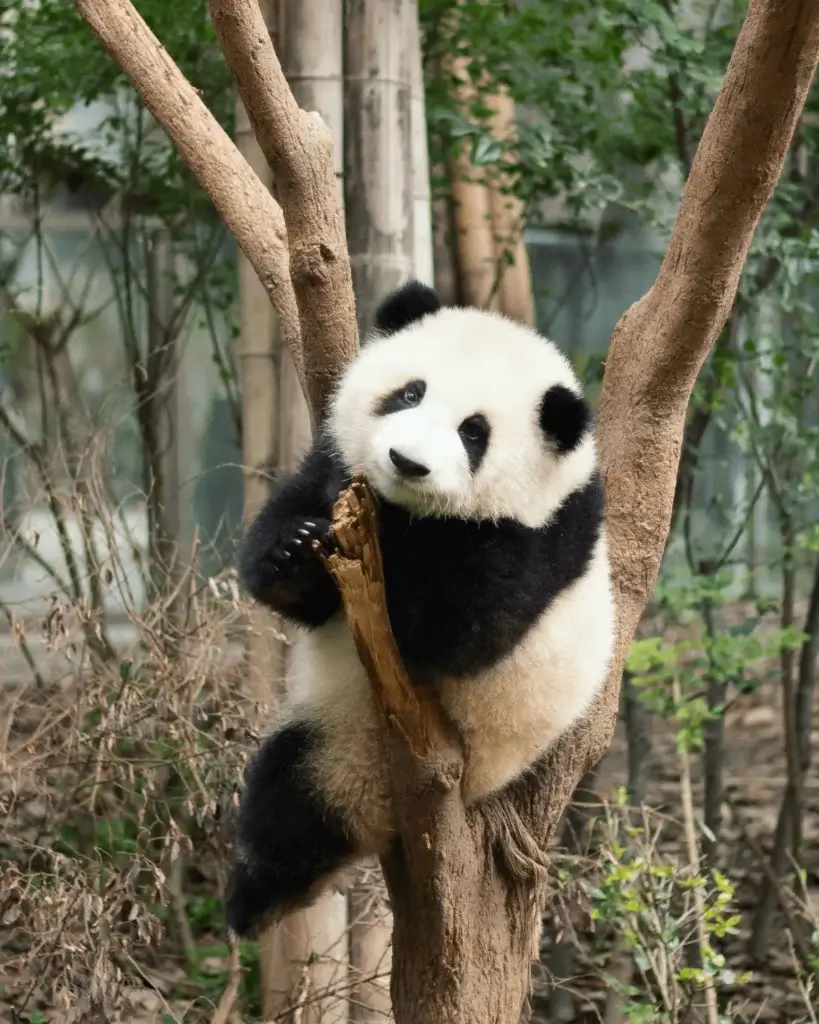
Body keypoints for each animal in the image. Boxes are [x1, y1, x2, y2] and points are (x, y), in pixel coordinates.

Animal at [225, 281, 614, 937]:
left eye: (474, 432)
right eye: (410, 392)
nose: (406, 462)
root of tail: (378, 809)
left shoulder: (534, 537)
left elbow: (456, 632)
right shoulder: (333, 459)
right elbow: (300, 545)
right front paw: (295, 549)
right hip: (331, 734)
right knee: (286, 808)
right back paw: (258, 900)